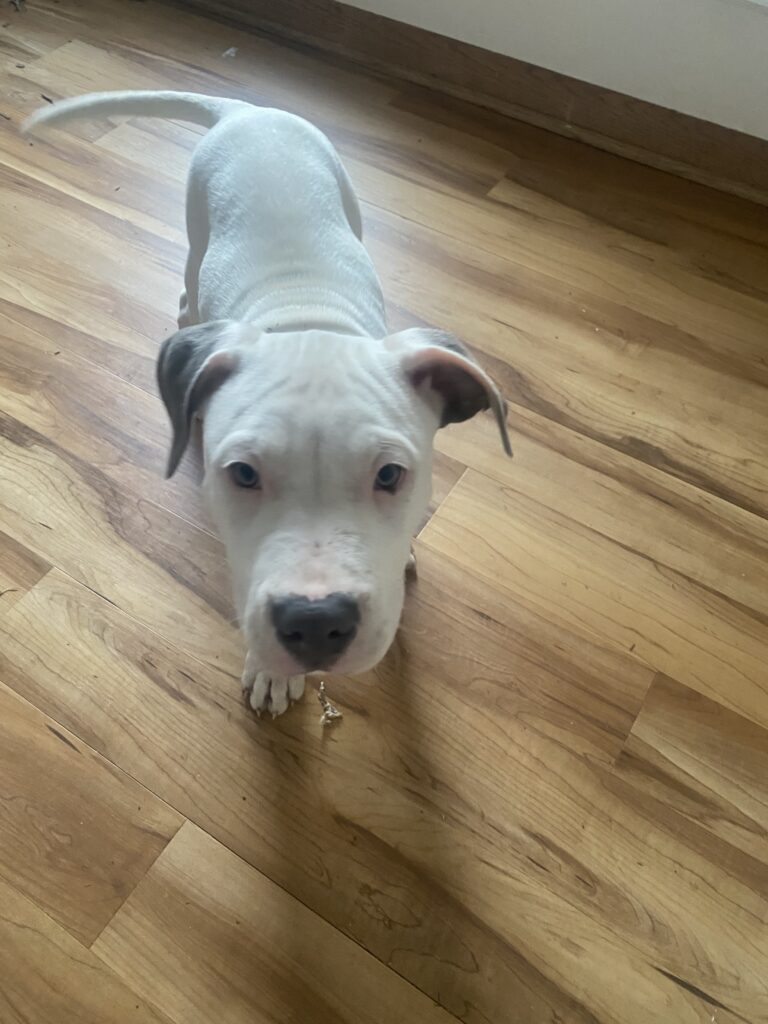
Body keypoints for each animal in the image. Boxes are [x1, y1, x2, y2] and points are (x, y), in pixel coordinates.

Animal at [24, 91, 511, 716]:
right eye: (243, 474)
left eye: (390, 475)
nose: (317, 622)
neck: (307, 321)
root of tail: (245, 109)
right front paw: (272, 672)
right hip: (197, 223)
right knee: (188, 288)